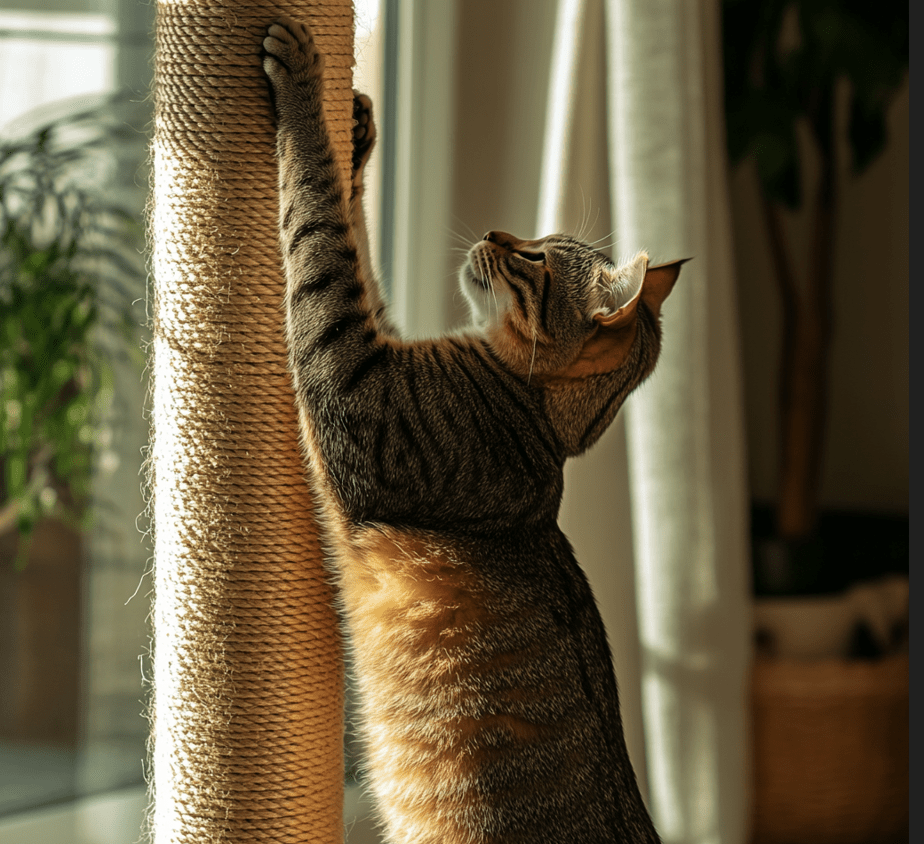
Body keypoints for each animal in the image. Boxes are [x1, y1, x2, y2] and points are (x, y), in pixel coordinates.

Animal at [264, 14, 684, 844]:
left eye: (537, 257)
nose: (494, 230)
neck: (539, 422)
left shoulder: (356, 386)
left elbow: (319, 230)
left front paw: (303, 88)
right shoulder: (381, 342)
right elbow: (353, 236)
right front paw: (356, 130)